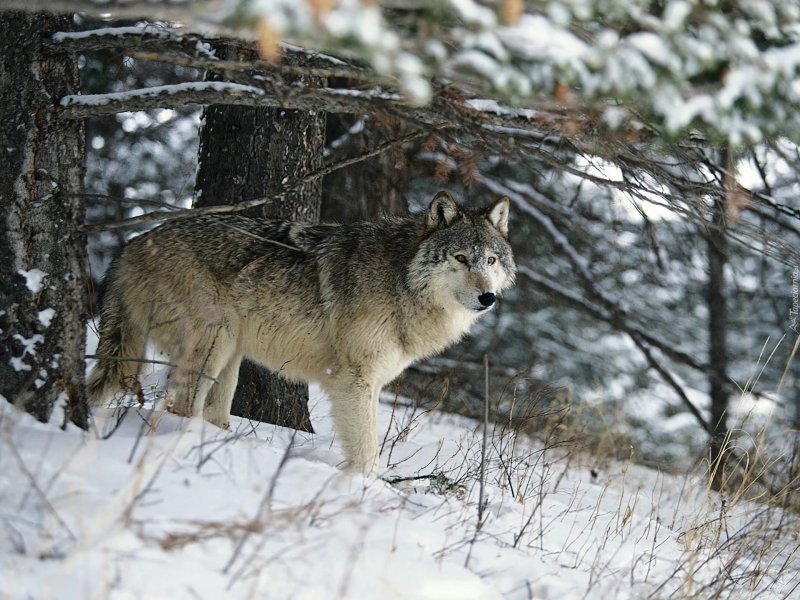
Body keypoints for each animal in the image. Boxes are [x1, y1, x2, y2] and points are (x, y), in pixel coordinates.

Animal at [86, 191, 512, 474]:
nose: (488, 297)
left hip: (230, 355)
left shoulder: (372, 381)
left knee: (210, 412)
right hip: (213, 344)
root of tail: (132, 243)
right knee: (181, 408)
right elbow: (367, 452)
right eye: (460, 258)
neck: (400, 278)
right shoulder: (354, 381)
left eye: (491, 260)